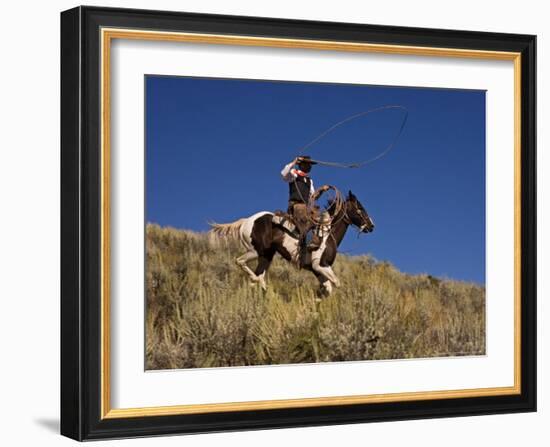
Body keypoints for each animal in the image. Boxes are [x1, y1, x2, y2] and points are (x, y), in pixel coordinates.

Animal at [210, 190, 376, 298]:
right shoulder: (320, 266)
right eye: (359, 208)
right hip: (256, 251)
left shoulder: (318, 270)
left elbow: (328, 289)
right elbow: (337, 282)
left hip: (266, 256)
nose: (371, 226)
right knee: (241, 263)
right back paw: (260, 284)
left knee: (257, 276)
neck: (327, 233)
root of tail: (247, 221)